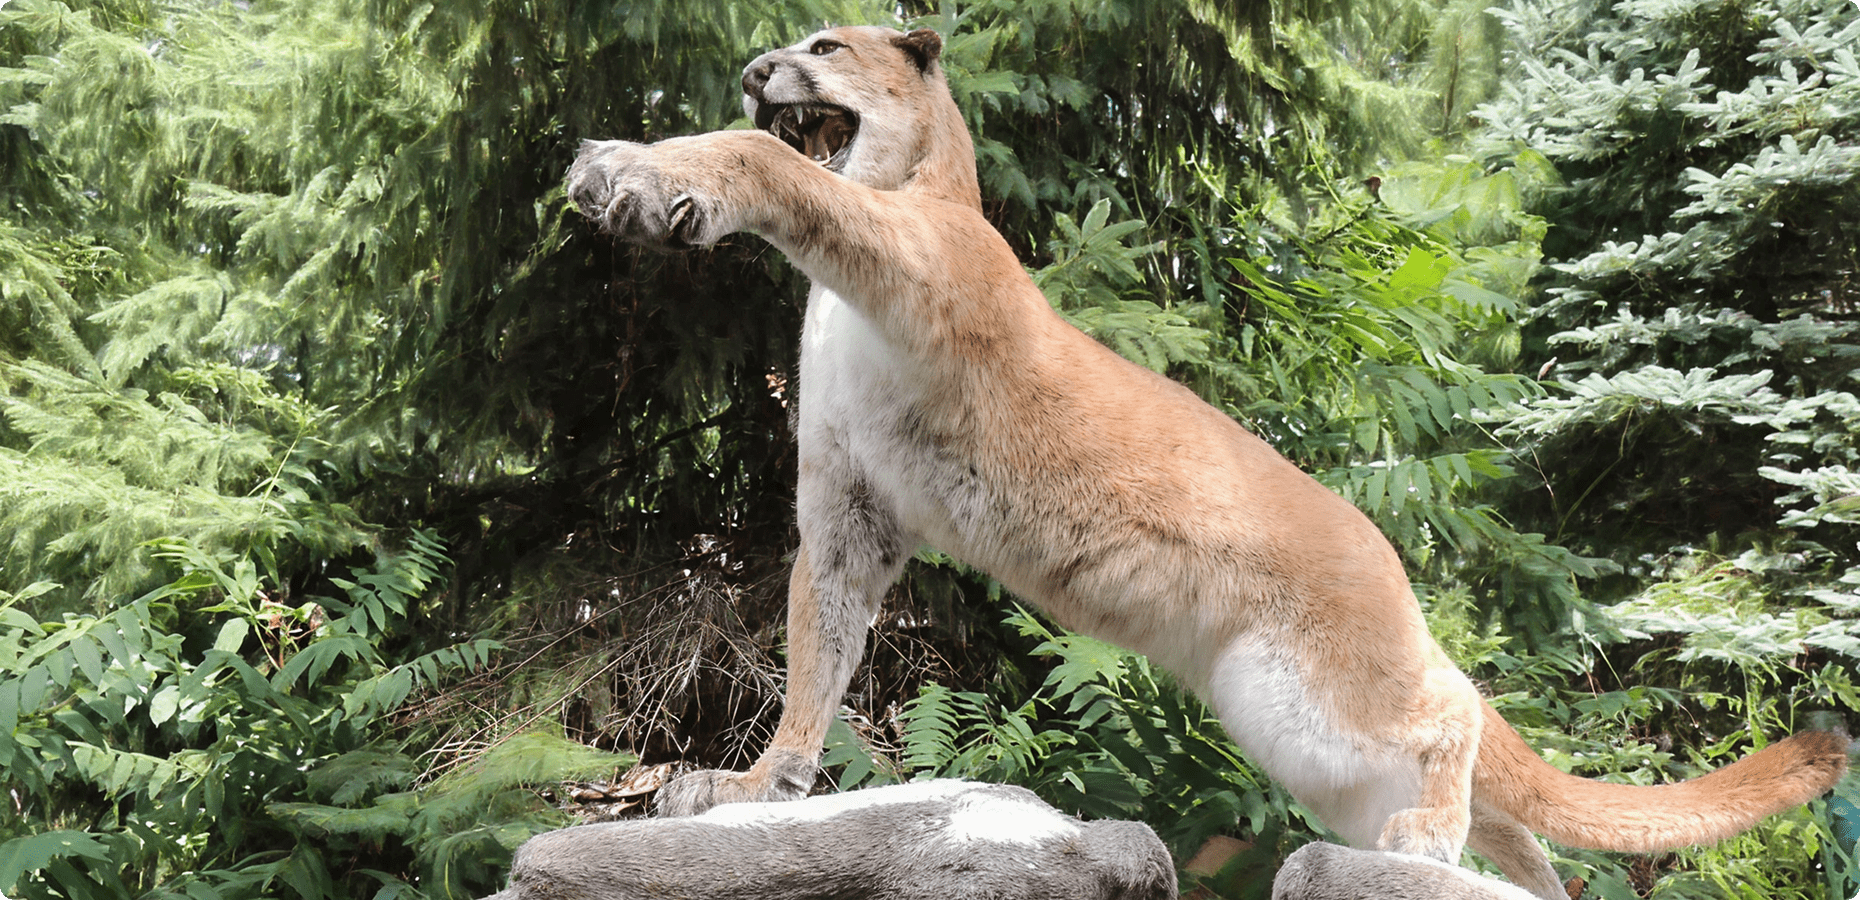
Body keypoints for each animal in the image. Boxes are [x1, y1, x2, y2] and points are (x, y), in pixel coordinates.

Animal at [564, 25, 1848, 898]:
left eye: (824, 47)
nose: (753, 67)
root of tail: (1394, 570)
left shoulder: (921, 265)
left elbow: (772, 164)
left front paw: (635, 172)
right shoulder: (851, 514)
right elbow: (815, 655)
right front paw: (752, 787)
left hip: (1320, 700)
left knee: (1456, 716)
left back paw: (1424, 840)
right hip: (1307, 744)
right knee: (1511, 824)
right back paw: (1480, 873)